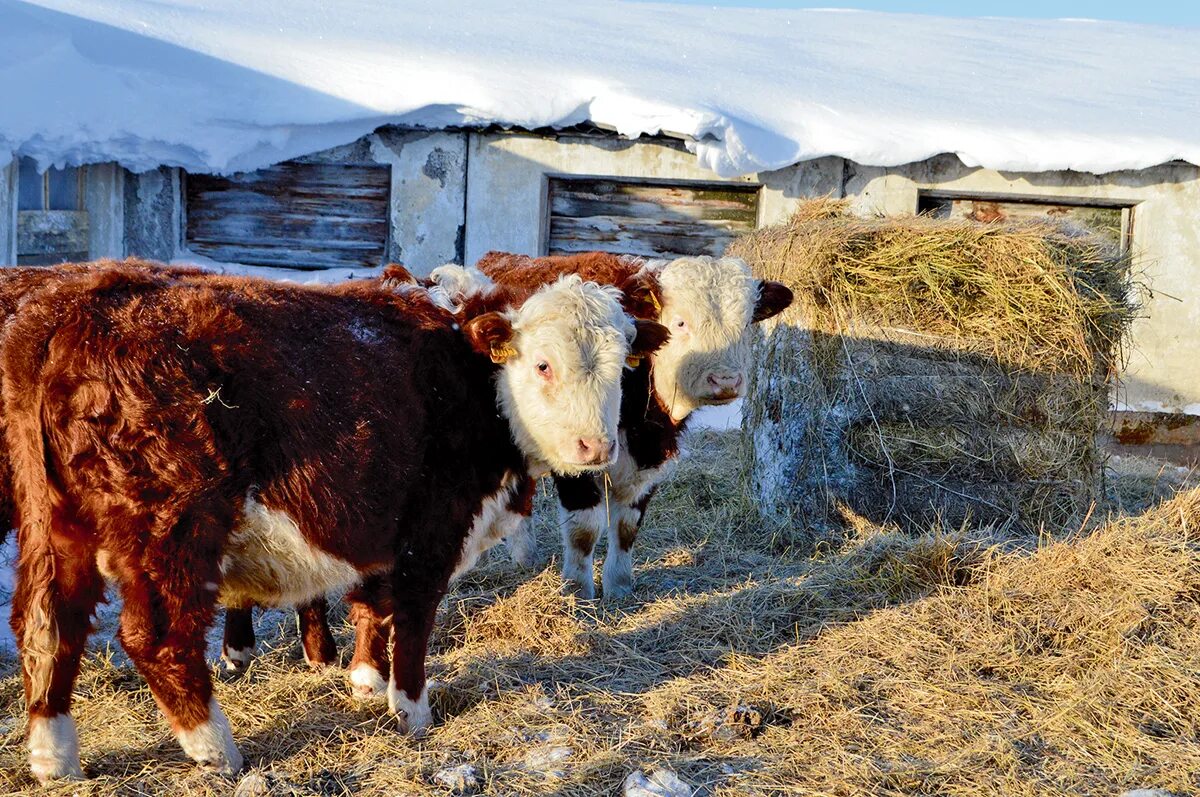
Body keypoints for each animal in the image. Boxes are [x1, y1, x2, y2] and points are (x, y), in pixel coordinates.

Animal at [477, 253, 796, 597]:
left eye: (746, 323)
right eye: (680, 323)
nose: (724, 380)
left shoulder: (650, 460)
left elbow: (627, 527)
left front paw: (619, 588)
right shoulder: (576, 456)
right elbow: (584, 530)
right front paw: (578, 591)